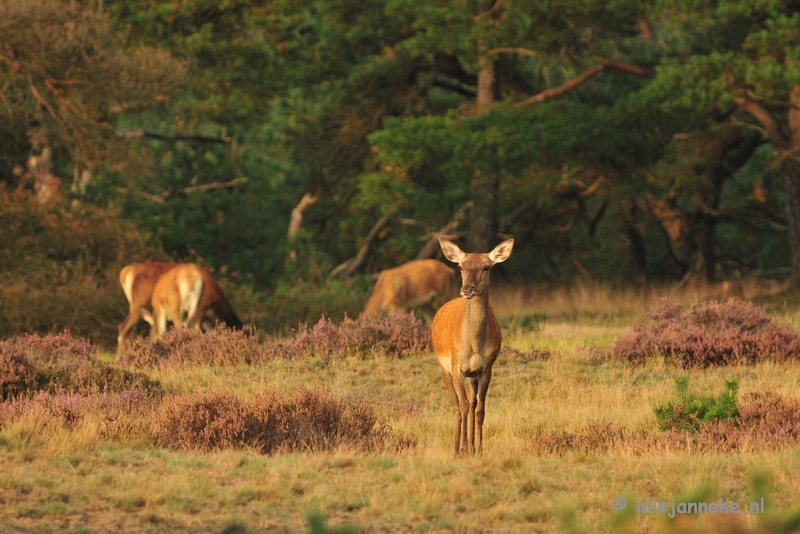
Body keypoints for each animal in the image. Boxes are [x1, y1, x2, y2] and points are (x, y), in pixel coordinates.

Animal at [432, 239, 512, 456]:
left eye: (486, 267)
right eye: (461, 267)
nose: (467, 289)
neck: (474, 344)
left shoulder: (486, 368)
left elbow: (480, 409)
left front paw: (479, 449)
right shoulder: (457, 366)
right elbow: (463, 405)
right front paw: (459, 449)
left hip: (472, 375)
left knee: (472, 401)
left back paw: (471, 445)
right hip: (443, 367)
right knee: (456, 405)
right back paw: (459, 446)